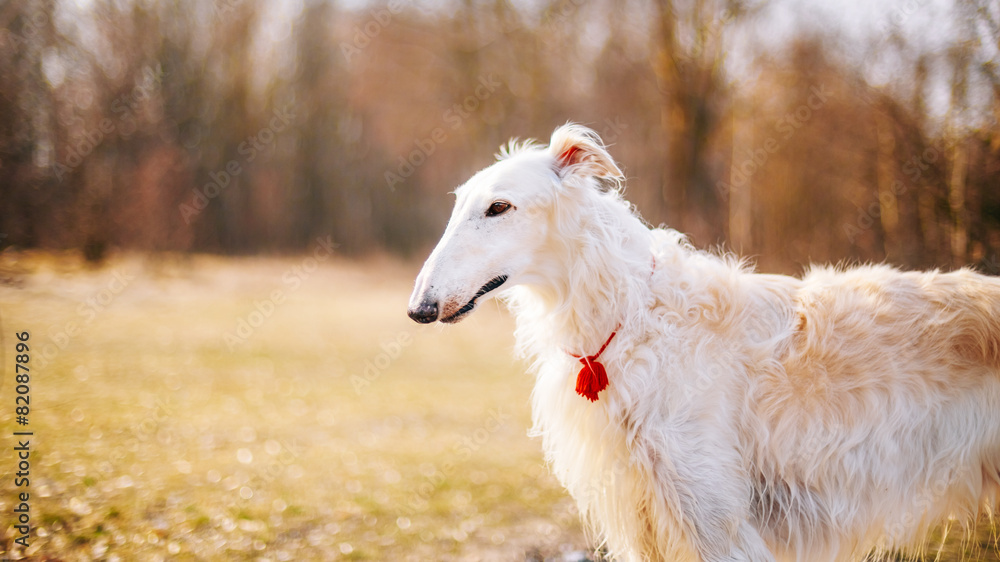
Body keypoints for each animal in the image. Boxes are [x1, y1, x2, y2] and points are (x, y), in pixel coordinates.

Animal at [406, 123, 1000, 560]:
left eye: (499, 207)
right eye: (460, 205)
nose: (419, 309)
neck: (634, 317)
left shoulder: (718, 519)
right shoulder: (649, 516)